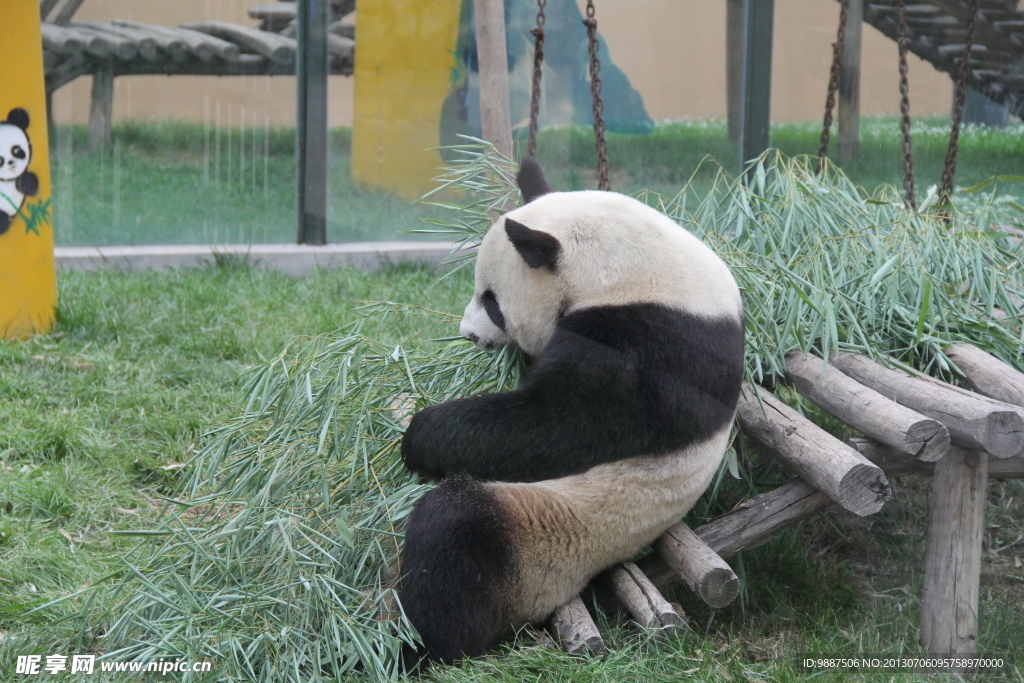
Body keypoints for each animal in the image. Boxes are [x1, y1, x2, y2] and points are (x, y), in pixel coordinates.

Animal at [393, 157, 745, 663]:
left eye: (492, 302)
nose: (468, 335)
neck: (624, 271)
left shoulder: (652, 343)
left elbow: (556, 424)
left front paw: (419, 435)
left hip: (556, 536)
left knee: (455, 529)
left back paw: (426, 649)